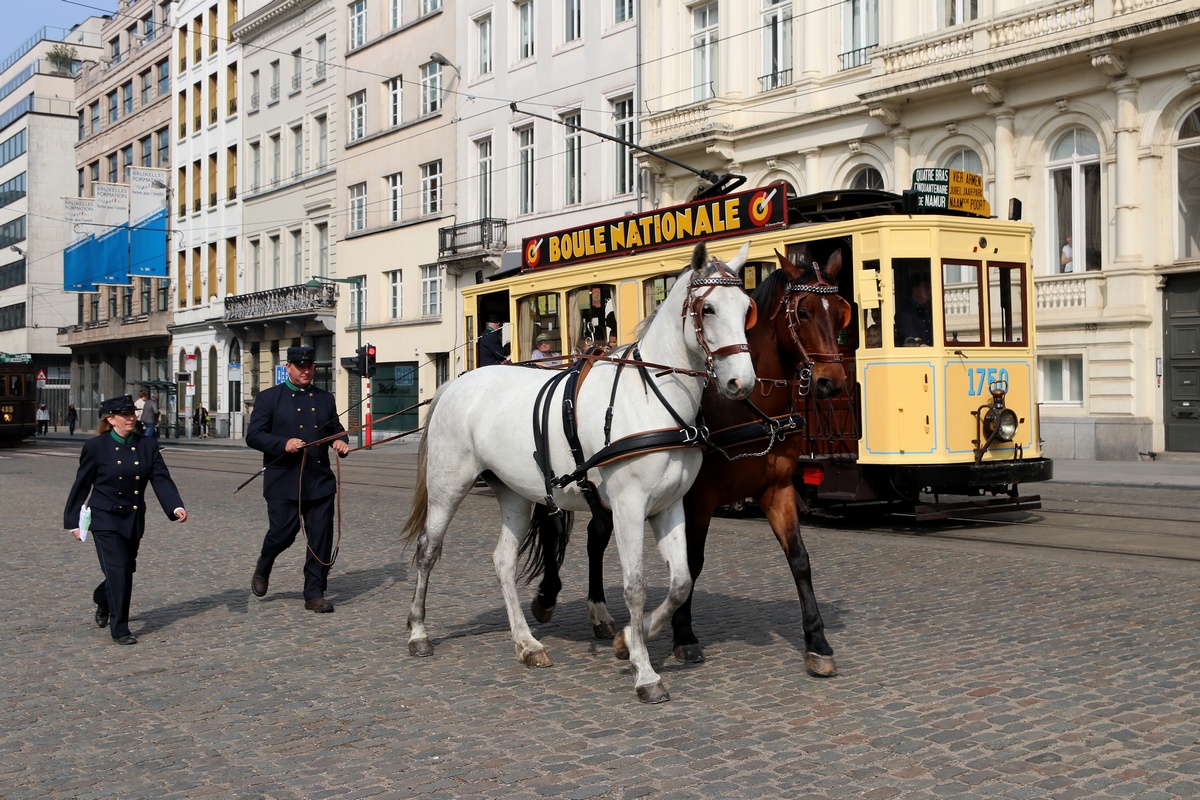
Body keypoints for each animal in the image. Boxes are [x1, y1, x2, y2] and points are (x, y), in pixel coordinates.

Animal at [408, 242, 753, 700]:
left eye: (747, 307)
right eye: (708, 308)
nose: (741, 383)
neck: (651, 400)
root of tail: (455, 383)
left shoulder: (669, 505)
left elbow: (680, 581)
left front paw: (628, 641)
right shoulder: (628, 507)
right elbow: (636, 586)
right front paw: (645, 672)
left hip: (515, 492)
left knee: (503, 561)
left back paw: (527, 643)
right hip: (449, 485)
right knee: (428, 550)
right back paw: (418, 633)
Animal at [528, 248, 854, 676]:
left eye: (842, 312)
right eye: (802, 312)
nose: (832, 380)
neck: (747, 408)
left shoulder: (778, 490)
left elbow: (799, 559)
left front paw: (817, 642)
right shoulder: (697, 499)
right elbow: (692, 562)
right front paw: (683, 636)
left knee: (595, 537)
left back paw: (598, 613)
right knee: (554, 529)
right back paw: (548, 596)